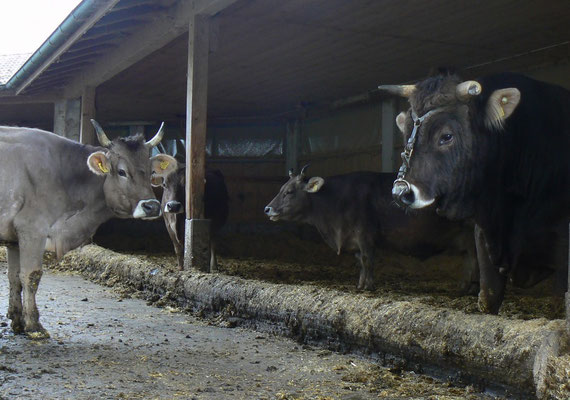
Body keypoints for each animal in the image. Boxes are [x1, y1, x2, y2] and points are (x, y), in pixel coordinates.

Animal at [0, 122, 173, 338]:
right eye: (122, 171)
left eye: (151, 172)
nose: (152, 207)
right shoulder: (32, 228)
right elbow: (31, 276)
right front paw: (34, 325)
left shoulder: (14, 238)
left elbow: (14, 277)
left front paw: (17, 321)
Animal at [262, 166, 474, 290]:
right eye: (281, 188)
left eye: (289, 191)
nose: (267, 209)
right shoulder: (354, 240)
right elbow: (360, 263)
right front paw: (360, 284)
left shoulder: (365, 235)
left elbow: (367, 260)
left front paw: (368, 286)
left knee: (474, 258)